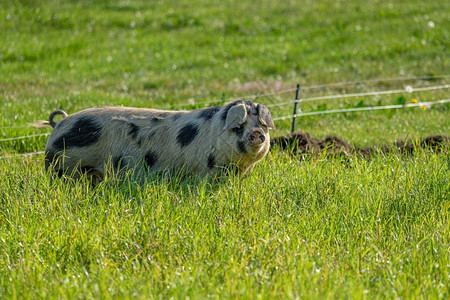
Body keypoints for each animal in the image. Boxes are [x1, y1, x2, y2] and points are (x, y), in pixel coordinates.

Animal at [44, 100, 274, 180]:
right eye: (239, 126)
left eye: (261, 124)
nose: (256, 133)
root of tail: (59, 124)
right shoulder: (205, 172)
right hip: (63, 167)